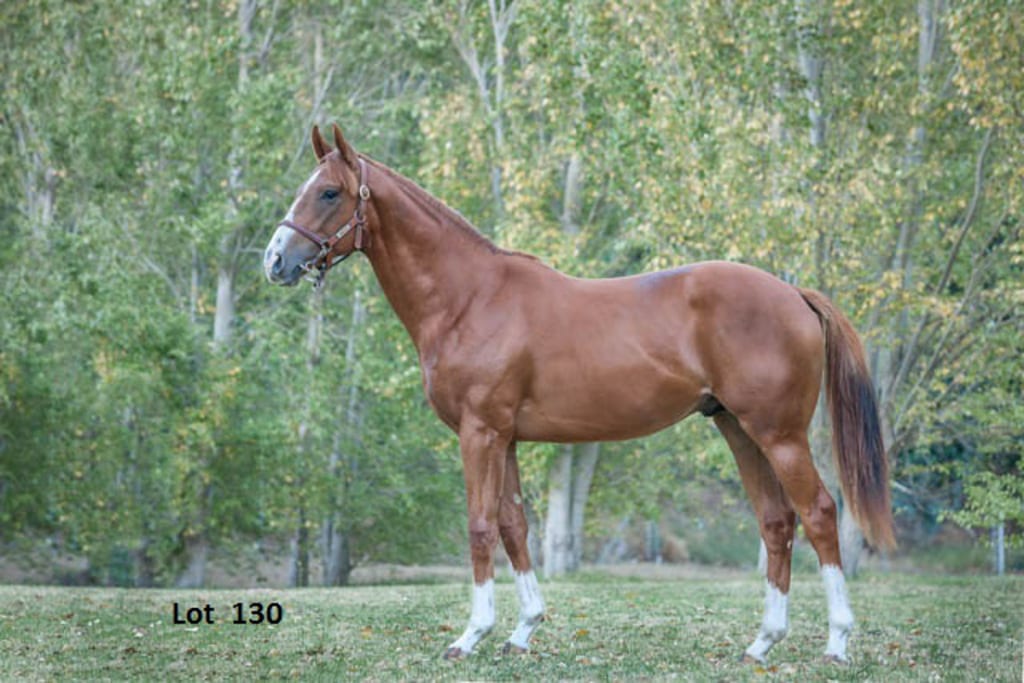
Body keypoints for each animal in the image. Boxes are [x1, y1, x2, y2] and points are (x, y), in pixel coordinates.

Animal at [264, 125, 897, 663]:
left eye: (327, 192)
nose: (276, 260)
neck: (470, 298)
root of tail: (793, 294)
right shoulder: (506, 437)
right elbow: (514, 525)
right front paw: (522, 631)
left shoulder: (479, 432)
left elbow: (479, 525)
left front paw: (471, 636)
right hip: (738, 429)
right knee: (776, 523)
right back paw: (762, 644)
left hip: (780, 434)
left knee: (819, 514)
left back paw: (836, 643)